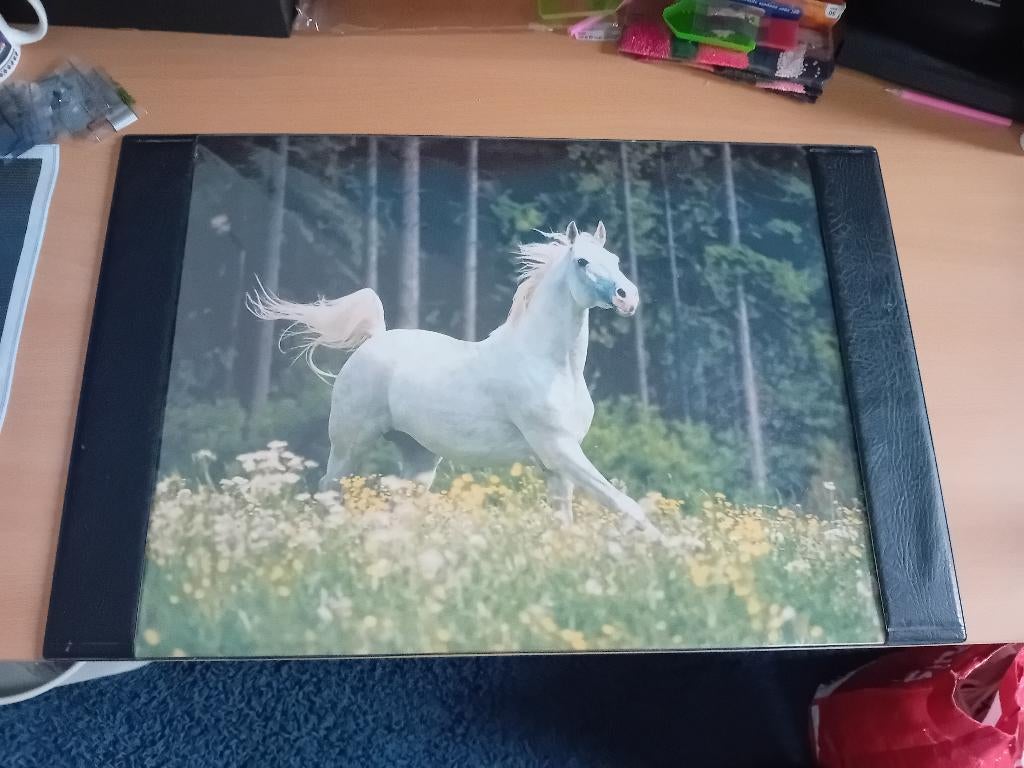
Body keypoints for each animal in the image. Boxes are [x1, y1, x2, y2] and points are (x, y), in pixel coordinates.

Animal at [247, 221, 661, 536]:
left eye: (616, 259)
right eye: (582, 261)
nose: (627, 297)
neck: (550, 365)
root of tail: (376, 338)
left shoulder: (556, 465)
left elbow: (566, 522)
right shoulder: (558, 449)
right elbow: (626, 505)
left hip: (418, 458)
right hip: (350, 444)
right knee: (328, 490)